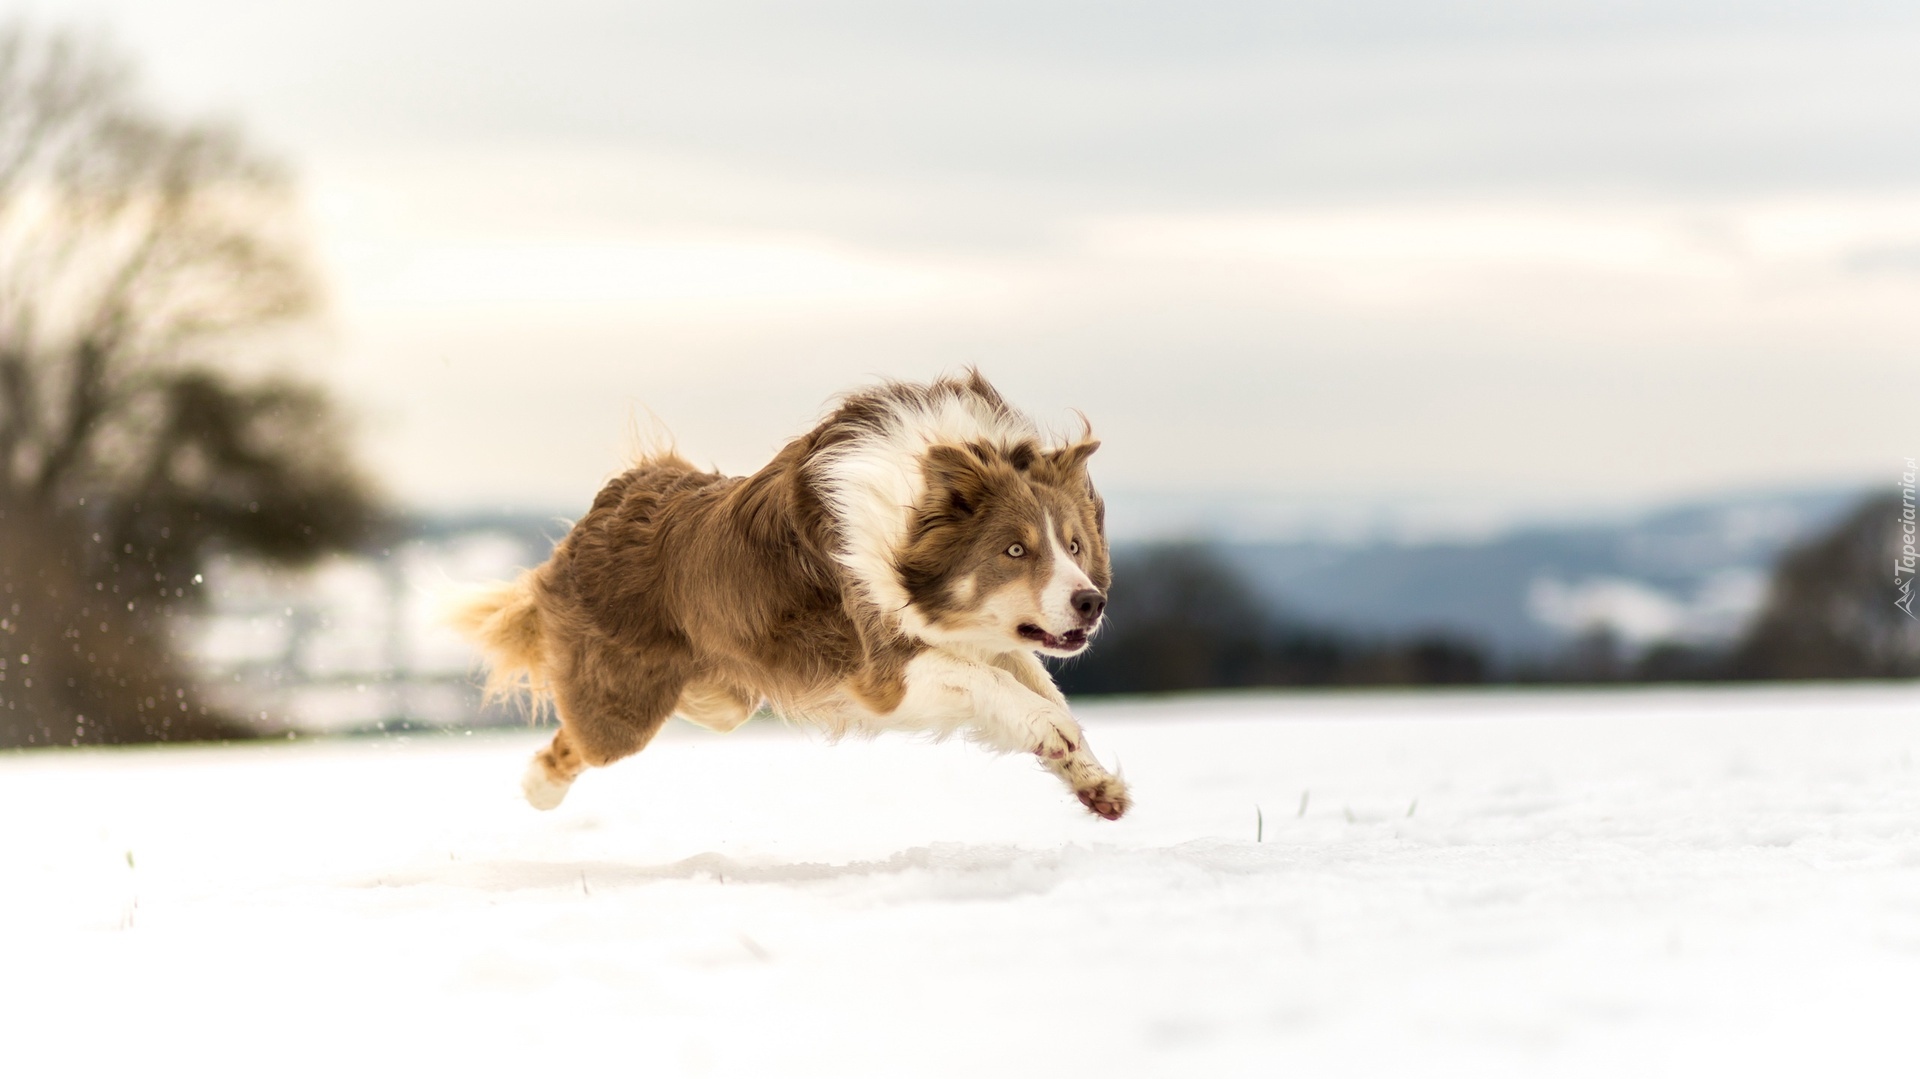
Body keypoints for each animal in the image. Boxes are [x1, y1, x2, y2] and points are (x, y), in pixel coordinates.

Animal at [447, 366, 1121, 814]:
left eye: (1074, 545)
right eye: (1015, 551)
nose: (1092, 602)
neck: (908, 508)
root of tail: (610, 501)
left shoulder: (983, 637)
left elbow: (1035, 682)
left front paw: (1089, 775)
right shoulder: (883, 669)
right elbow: (992, 682)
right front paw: (1052, 731)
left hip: (724, 696)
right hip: (622, 711)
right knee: (578, 740)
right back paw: (538, 789)